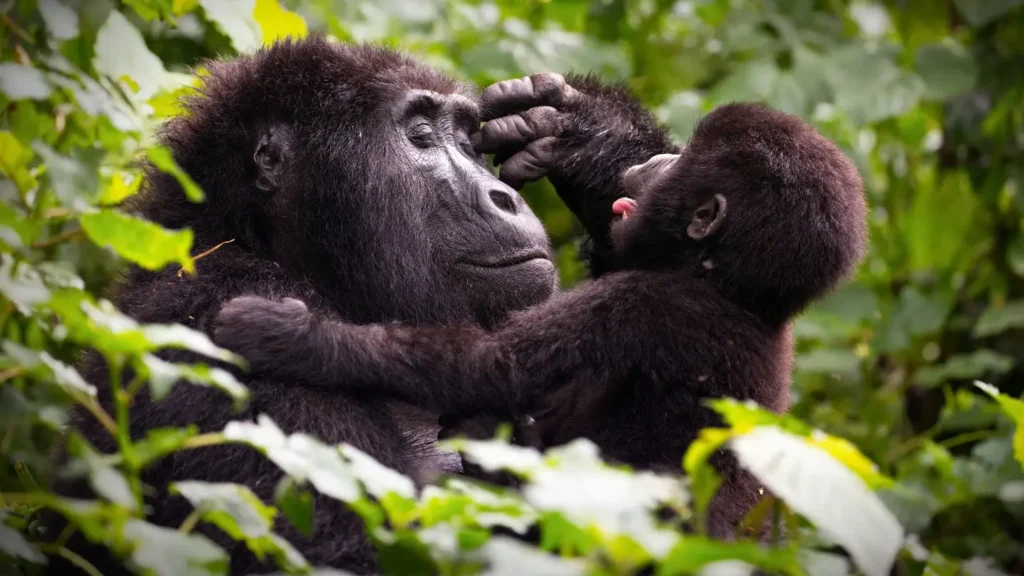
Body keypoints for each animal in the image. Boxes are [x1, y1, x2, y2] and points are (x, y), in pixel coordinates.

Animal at [214, 101, 864, 532]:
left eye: (675, 167)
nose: (647, 164)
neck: (728, 285)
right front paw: (582, 125)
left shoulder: (638, 304)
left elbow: (483, 367)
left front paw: (289, 336)